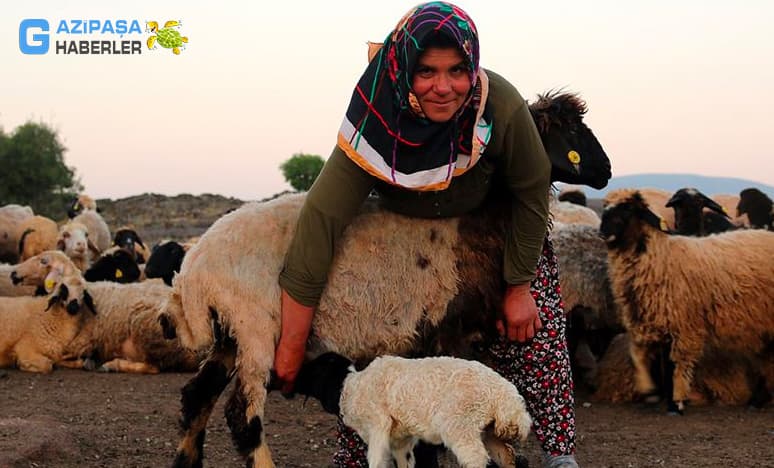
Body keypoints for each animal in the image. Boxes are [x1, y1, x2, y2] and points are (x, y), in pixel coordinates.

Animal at [12, 250, 200, 374]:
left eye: (43, 261)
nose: (13, 273)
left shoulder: (80, 342)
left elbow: (58, 358)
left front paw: (86, 362)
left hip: (148, 330)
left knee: (154, 367)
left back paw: (113, 365)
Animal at [294, 352, 532, 466]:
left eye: (313, 369)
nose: (291, 383)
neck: (350, 387)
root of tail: (507, 400)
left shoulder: (378, 427)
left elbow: (376, 462)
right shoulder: (401, 441)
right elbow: (405, 463)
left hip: (460, 424)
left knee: (477, 459)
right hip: (489, 432)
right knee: (508, 457)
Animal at [600, 188, 774, 412]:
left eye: (628, 209)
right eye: (605, 209)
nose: (603, 232)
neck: (659, 256)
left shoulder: (684, 325)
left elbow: (677, 365)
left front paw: (676, 402)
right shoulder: (649, 319)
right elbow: (639, 355)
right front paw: (652, 392)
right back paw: (758, 400)